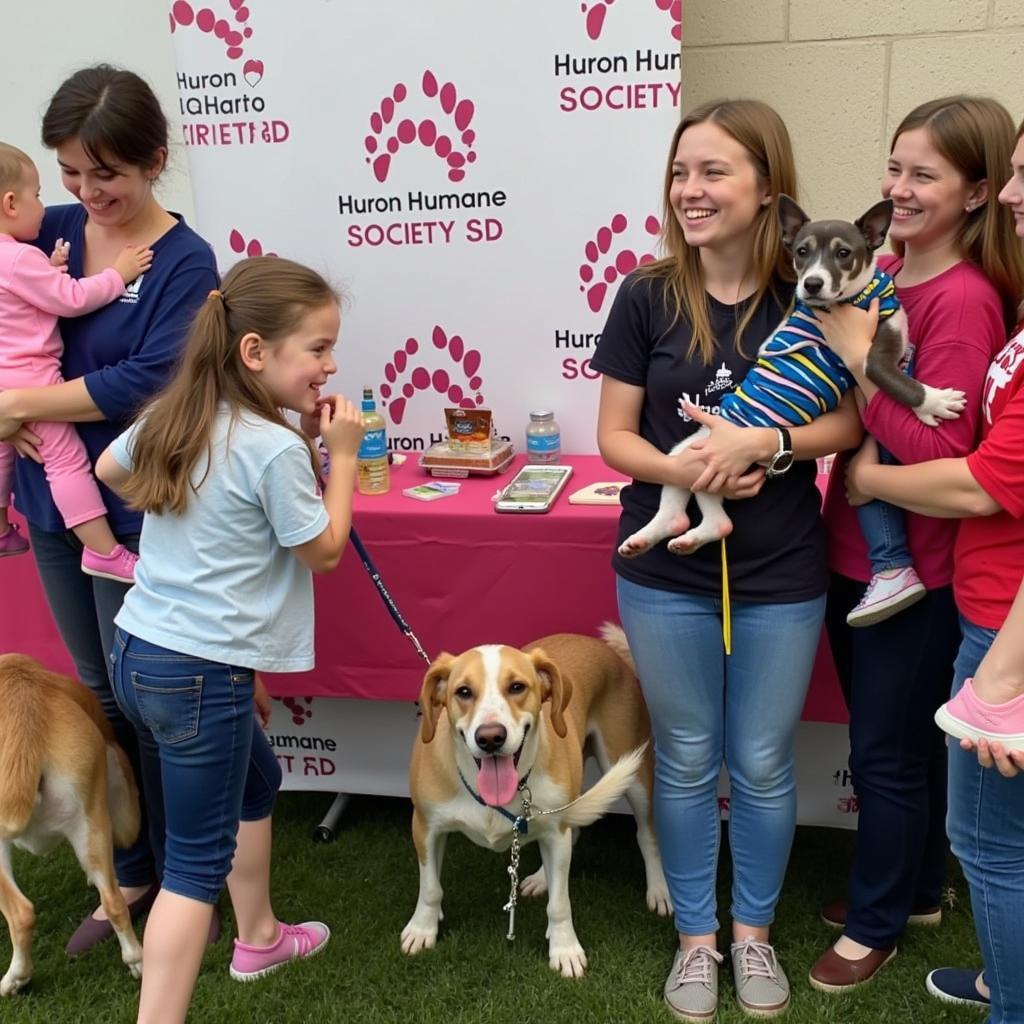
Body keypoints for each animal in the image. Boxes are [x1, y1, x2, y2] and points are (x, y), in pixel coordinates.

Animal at [399, 622, 671, 974]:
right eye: (463, 692)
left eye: (517, 687)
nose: (490, 737)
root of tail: (602, 648)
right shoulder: (425, 825)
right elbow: (430, 887)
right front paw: (423, 928)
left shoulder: (556, 831)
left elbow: (560, 904)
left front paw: (565, 948)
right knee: (572, 833)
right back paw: (542, 878)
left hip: (631, 771)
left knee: (645, 835)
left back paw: (659, 889)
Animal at [614, 194, 966, 557]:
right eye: (801, 251)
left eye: (844, 253)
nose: (811, 283)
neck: (854, 298)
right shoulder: (874, 361)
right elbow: (901, 383)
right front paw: (934, 402)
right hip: (702, 459)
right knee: (708, 509)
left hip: (685, 453)